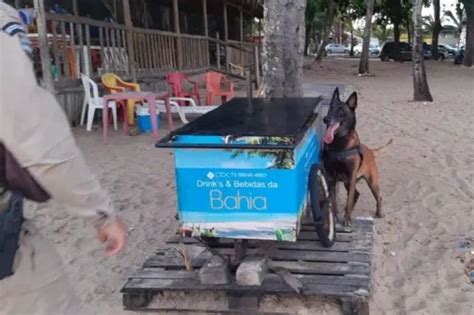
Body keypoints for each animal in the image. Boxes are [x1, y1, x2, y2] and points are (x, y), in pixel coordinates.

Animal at [322, 88, 392, 227]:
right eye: (330, 108)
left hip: (371, 181)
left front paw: (347, 219)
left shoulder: (351, 176)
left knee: (378, 196)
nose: (326, 119)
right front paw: (336, 217)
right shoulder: (331, 178)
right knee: (356, 194)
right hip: (348, 183)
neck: (339, 144)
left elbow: (348, 199)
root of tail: (371, 150)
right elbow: (333, 201)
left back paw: (379, 212)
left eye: (341, 111)